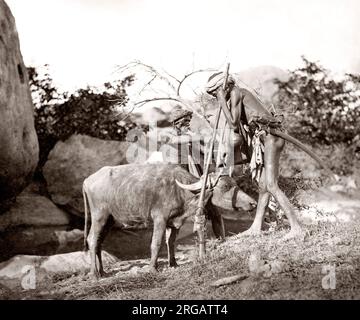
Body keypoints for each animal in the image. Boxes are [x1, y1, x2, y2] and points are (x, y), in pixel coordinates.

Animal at [83, 162, 256, 278]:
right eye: (225, 186)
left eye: (235, 184)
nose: (253, 203)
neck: (180, 190)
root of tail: (87, 181)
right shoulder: (160, 218)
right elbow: (156, 243)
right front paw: (153, 268)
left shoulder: (174, 223)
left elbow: (170, 241)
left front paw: (173, 263)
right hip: (99, 216)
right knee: (92, 239)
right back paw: (94, 274)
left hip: (110, 220)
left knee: (99, 242)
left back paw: (102, 271)